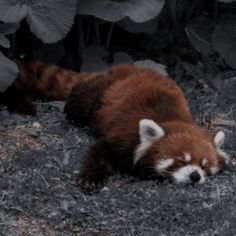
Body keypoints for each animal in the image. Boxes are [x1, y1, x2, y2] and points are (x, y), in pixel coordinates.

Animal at [63, 64, 230, 190]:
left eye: (204, 167)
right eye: (182, 161)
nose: (195, 176)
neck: (170, 119)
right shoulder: (124, 136)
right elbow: (101, 149)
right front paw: (90, 179)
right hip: (98, 93)